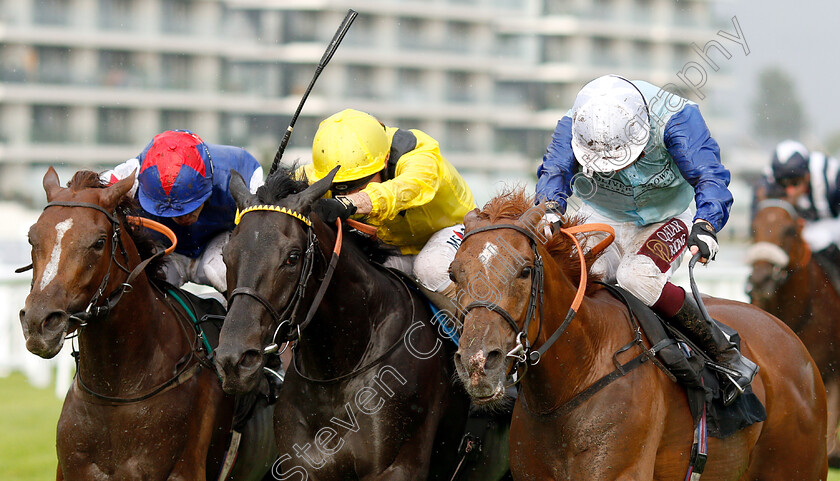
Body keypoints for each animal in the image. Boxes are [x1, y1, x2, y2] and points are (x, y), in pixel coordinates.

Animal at [213, 166, 508, 480]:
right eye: (225, 255)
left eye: (292, 257)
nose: (234, 360)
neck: (337, 373)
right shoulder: (299, 466)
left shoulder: (397, 467)